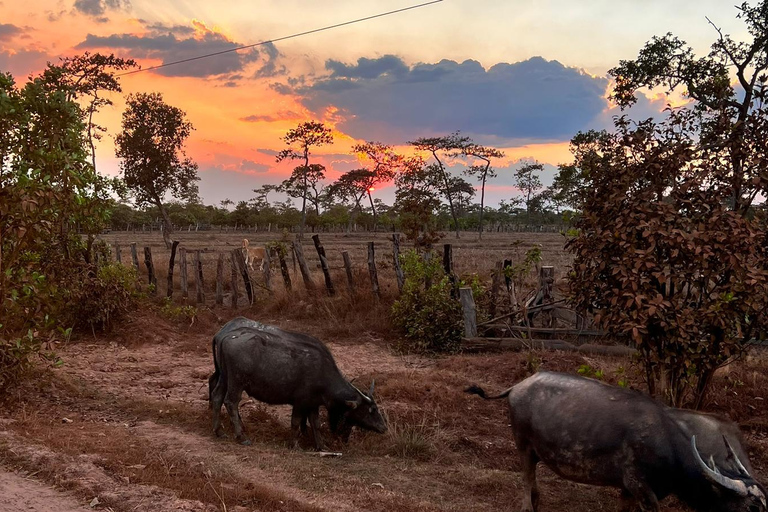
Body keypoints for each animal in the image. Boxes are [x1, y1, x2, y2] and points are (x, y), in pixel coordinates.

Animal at [207, 318, 388, 450]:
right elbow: (295, 422)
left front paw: (321, 446)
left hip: (224, 377)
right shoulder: (300, 403)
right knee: (231, 402)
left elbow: (316, 424)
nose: (384, 427)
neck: (323, 375)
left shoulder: (313, 404)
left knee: (217, 396)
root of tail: (224, 336)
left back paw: (218, 430)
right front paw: (294, 444)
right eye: (371, 410)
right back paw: (241, 436)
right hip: (236, 382)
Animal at [464, 372, 764, 512]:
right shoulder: (642, 489)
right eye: (751, 508)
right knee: (526, 479)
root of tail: (518, 386)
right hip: (523, 445)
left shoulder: (627, 490)